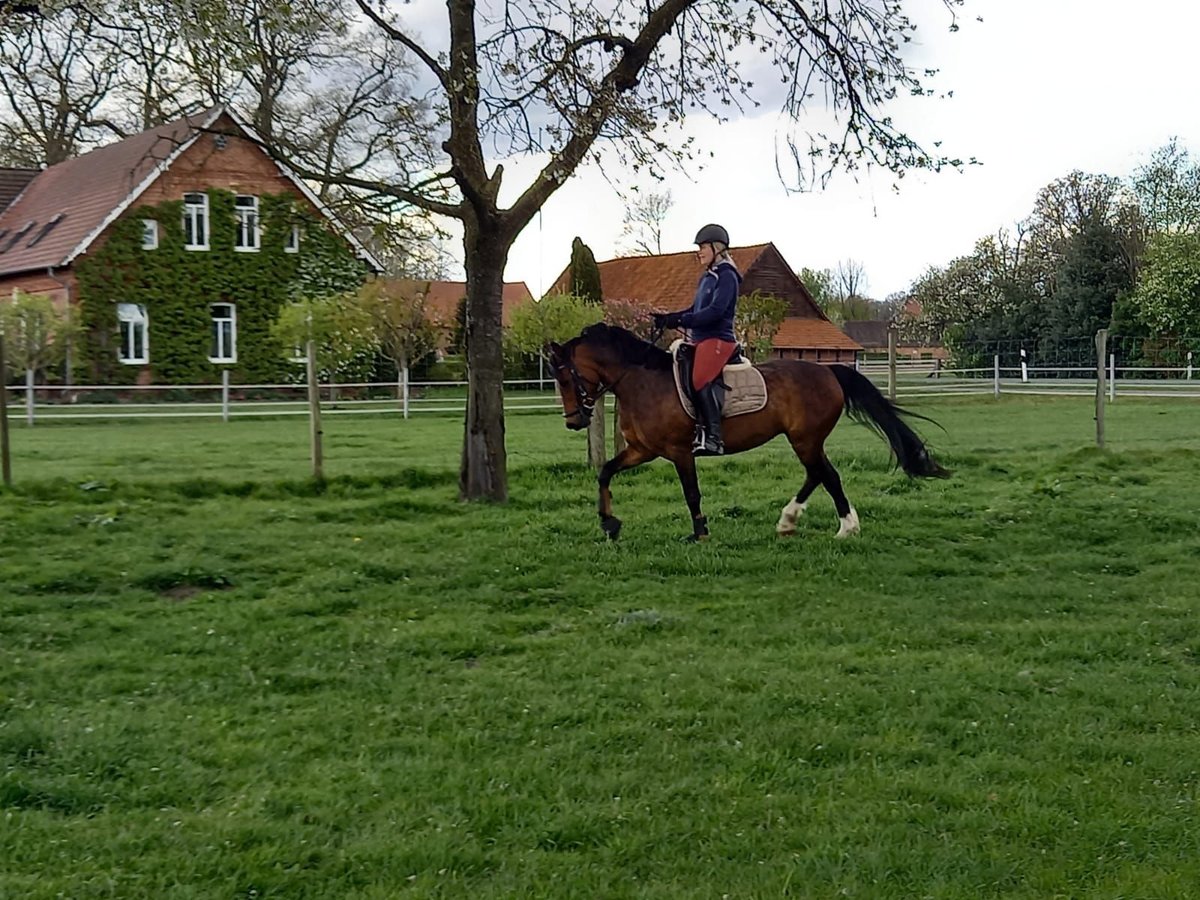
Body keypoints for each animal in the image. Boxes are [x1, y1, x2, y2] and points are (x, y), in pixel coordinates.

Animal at [549, 324, 950, 542]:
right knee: (817, 474)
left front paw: (700, 534)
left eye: (565, 377)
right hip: (805, 440)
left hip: (805, 439)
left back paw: (845, 527)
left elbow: (692, 494)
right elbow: (605, 472)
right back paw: (789, 521)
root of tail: (828, 371)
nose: (573, 421)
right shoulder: (642, 450)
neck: (642, 381)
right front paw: (609, 523)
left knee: (827, 475)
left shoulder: (679, 452)